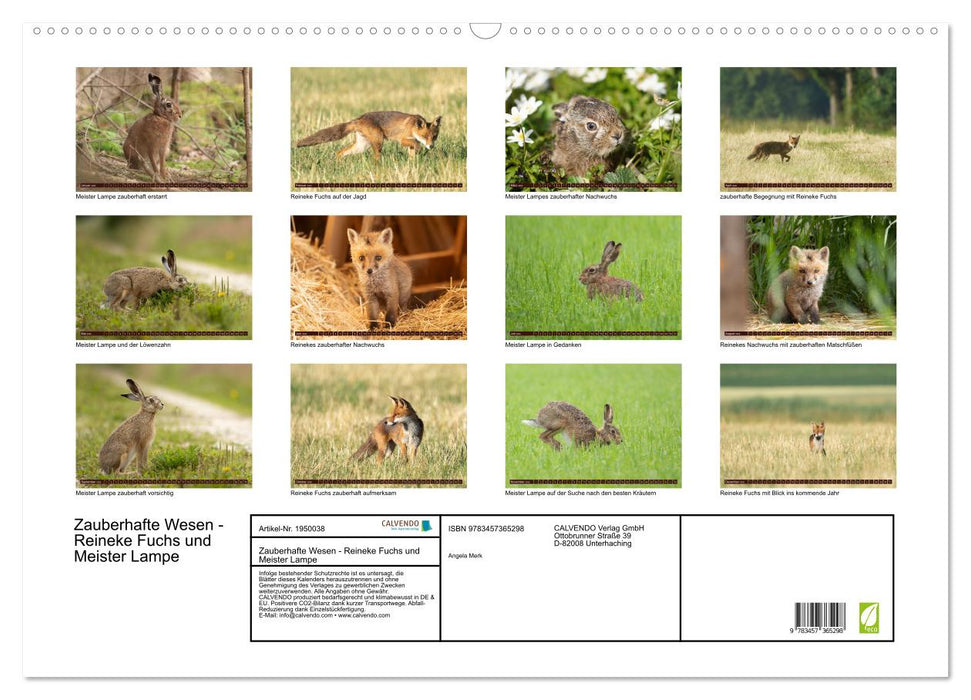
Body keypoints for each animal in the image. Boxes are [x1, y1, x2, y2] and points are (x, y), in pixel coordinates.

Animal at [295, 111, 442, 161]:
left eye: (434, 137)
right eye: (425, 137)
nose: (431, 146)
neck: (412, 127)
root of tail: (358, 119)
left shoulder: (409, 143)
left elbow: (412, 156)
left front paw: (412, 165)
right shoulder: (403, 139)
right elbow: (416, 144)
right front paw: (419, 150)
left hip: (361, 147)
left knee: (340, 152)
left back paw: (338, 164)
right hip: (378, 142)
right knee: (375, 158)